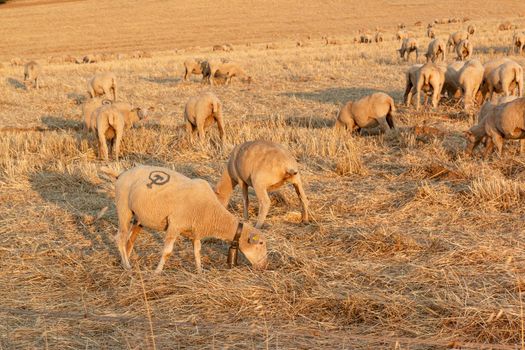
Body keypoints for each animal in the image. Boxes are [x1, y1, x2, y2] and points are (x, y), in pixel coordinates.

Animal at [103, 165, 268, 274]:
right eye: (261, 243)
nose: (265, 266)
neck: (213, 213)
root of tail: (121, 174)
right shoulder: (175, 225)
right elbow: (167, 252)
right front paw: (157, 271)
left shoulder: (196, 230)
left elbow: (197, 251)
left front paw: (200, 271)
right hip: (123, 208)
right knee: (120, 238)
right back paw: (127, 266)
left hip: (137, 215)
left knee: (129, 240)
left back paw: (124, 261)